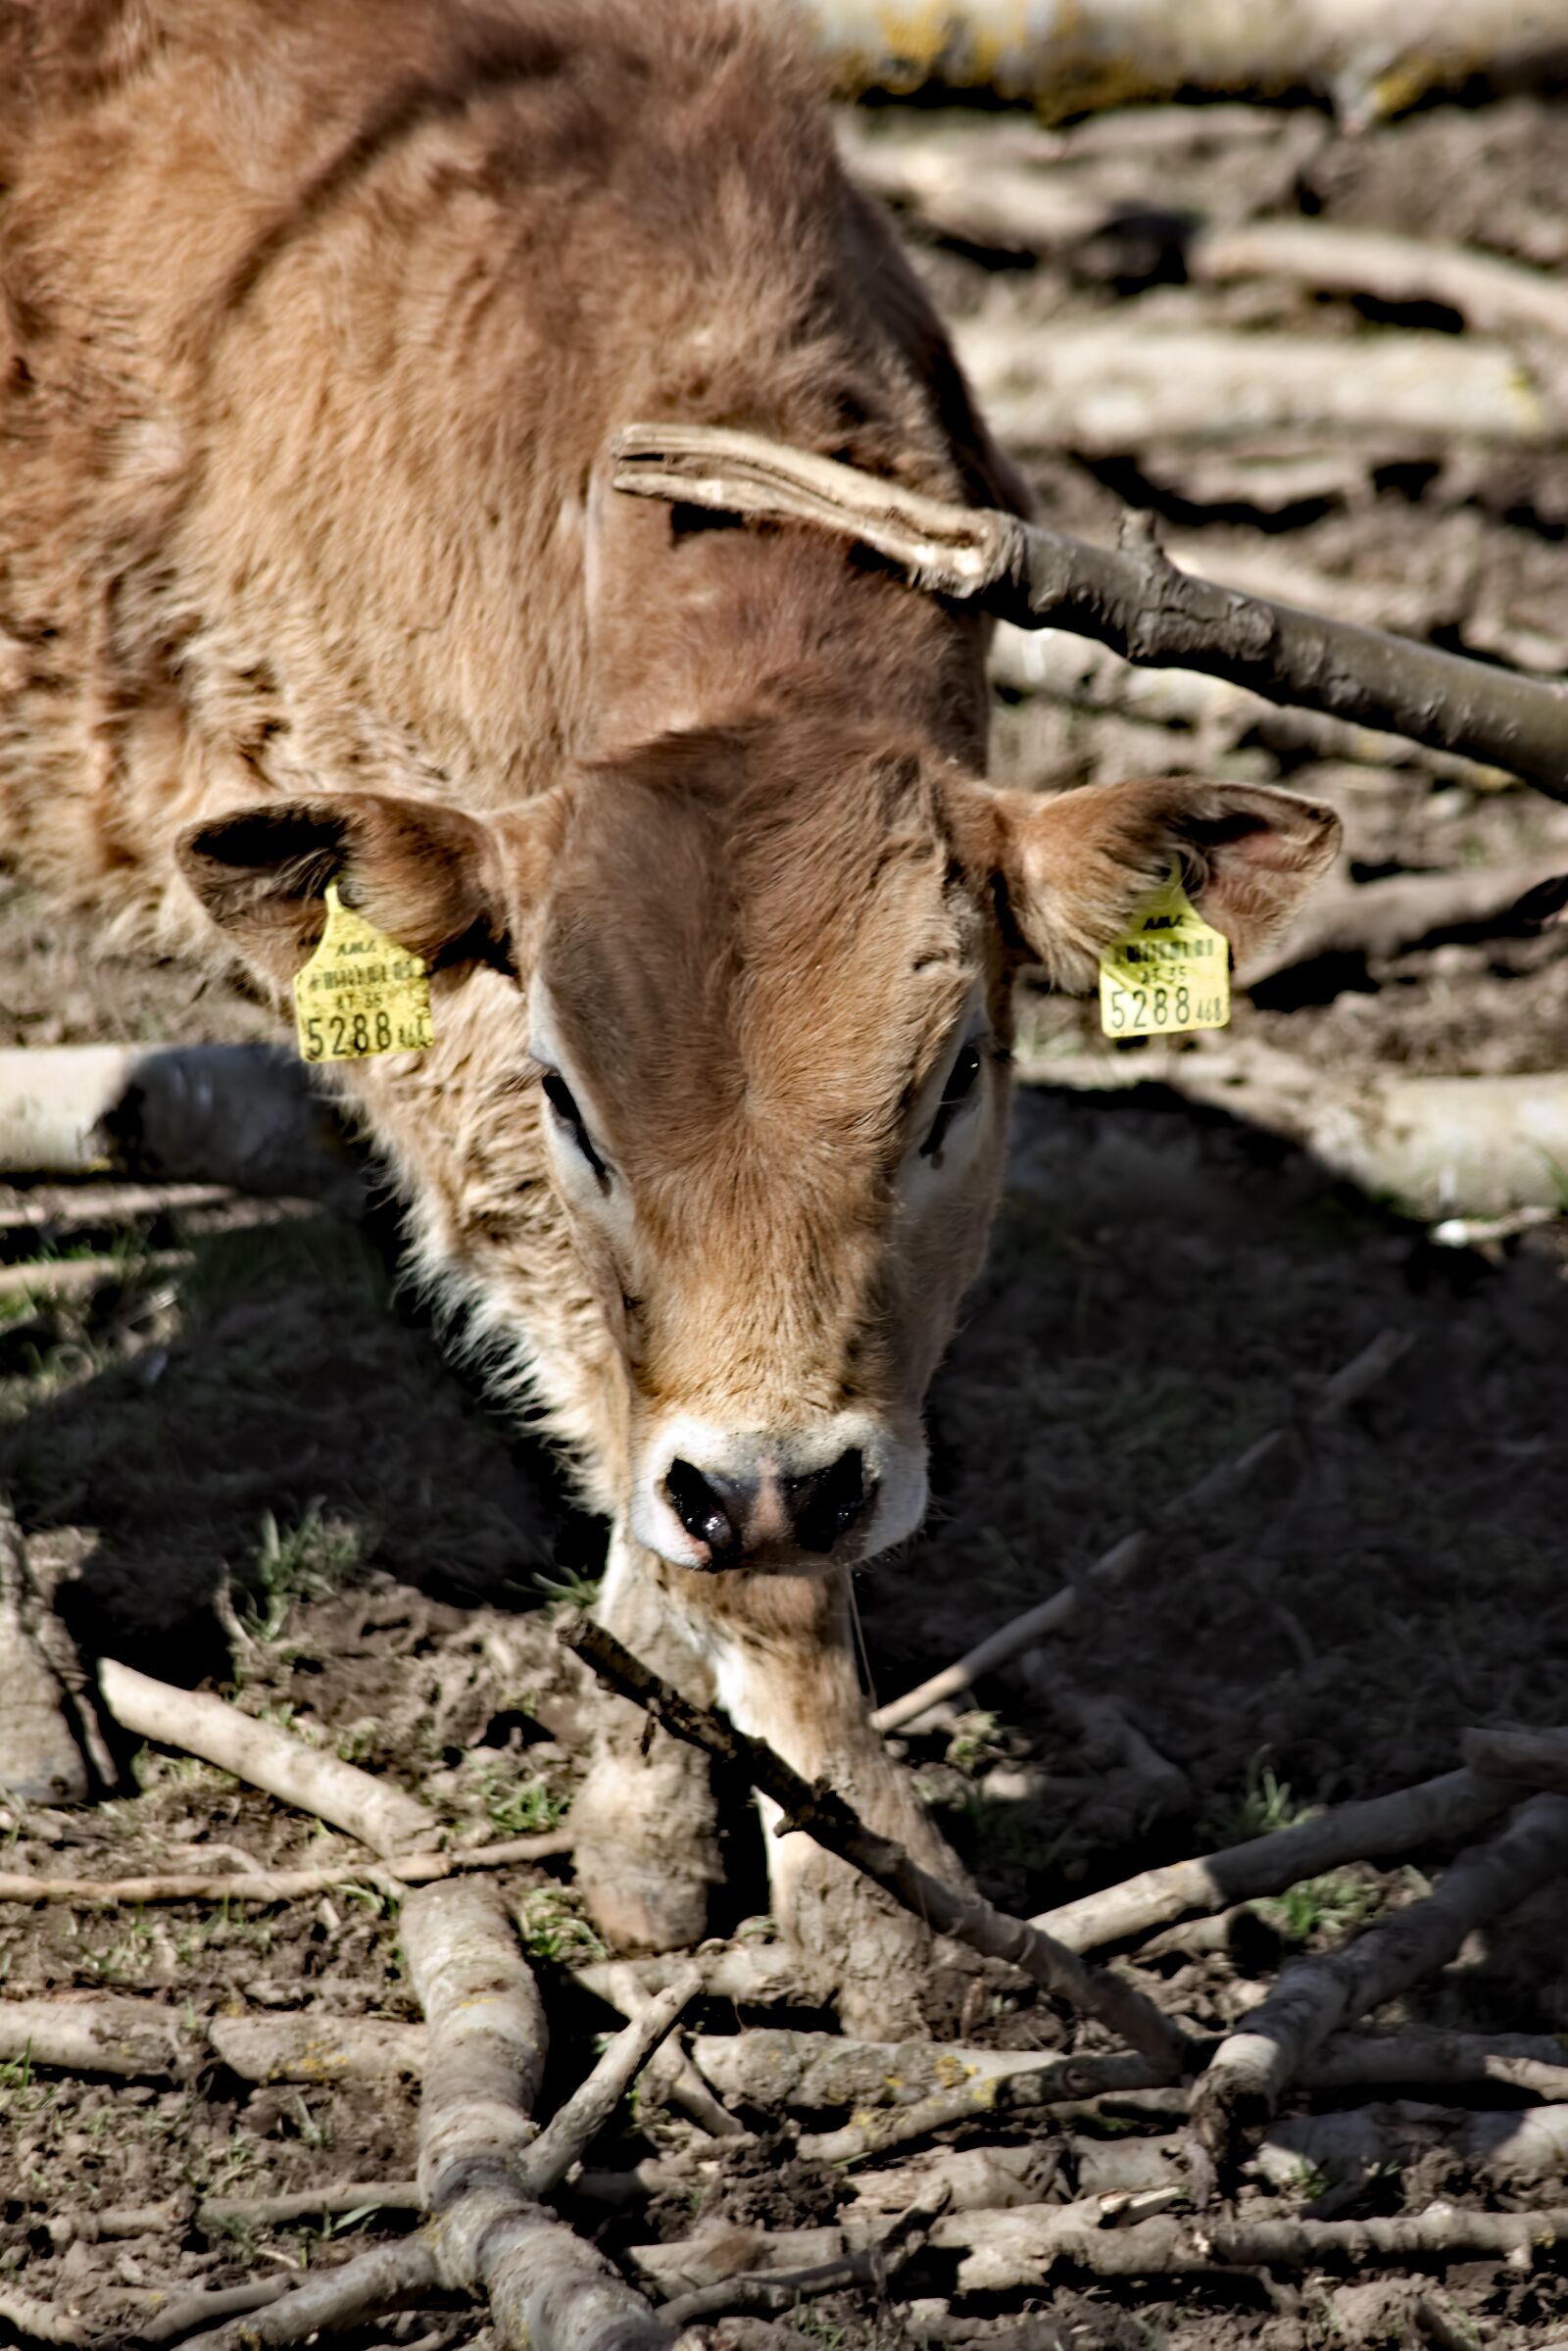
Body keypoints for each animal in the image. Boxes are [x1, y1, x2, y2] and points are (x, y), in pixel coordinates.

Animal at [0, 0, 1338, 2025]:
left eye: (954, 1081)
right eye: (576, 1100)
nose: (775, 1485)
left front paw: (716, 1818)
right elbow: (604, 1358)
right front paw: (849, 1880)